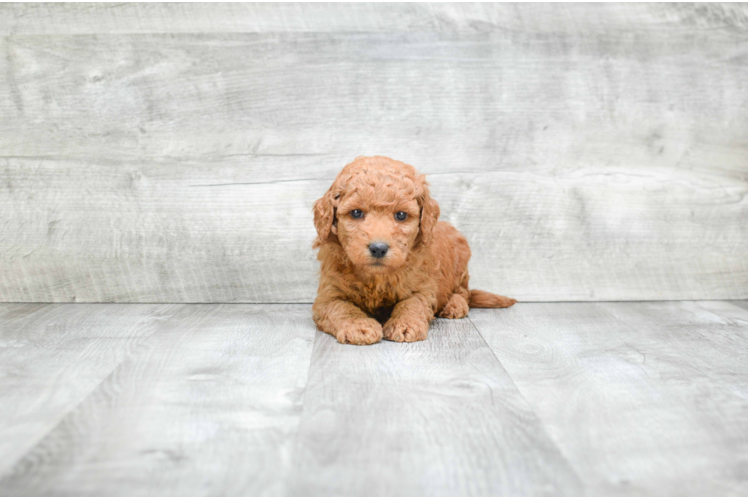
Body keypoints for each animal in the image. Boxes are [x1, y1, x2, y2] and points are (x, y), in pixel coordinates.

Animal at [310, 156, 516, 344]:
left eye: (401, 215)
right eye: (356, 213)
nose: (378, 248)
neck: (376, 278)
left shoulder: (422, 286)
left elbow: (412, 304)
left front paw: (405, 325)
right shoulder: (328, 294)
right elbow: (341, 307)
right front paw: (359, 326)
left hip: (461, 262)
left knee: (463, 292)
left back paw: (454, 305)